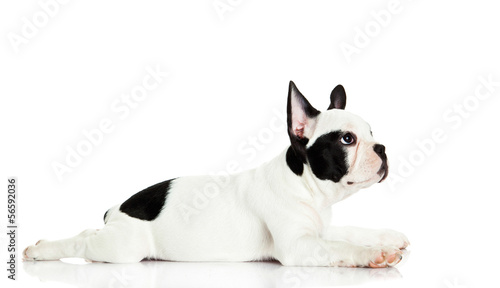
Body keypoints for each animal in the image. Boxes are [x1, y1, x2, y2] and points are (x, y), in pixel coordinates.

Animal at [23, 81, 408, 268]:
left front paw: (386, 237)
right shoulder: (299, 246)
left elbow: (350, 231)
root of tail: (116, 209)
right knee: (82, 241)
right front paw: (373, 255)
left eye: (372, 133)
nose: (382, 148)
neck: (304, 184)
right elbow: (342, 246)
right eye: (348, 140)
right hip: (124, 247)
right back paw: (41, 250)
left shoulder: (320, 230)